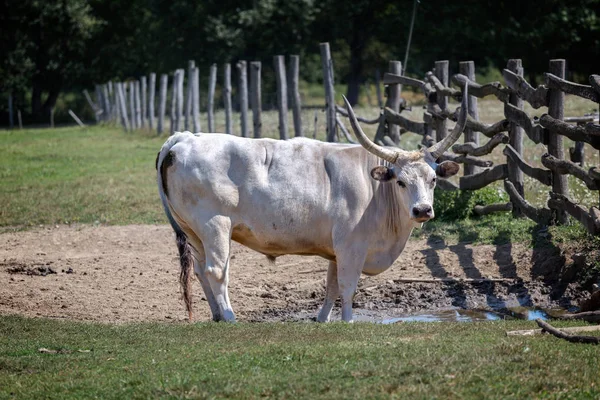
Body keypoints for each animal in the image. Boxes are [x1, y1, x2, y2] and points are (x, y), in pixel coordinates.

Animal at [156, 87, 468, 322]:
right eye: (401, 182)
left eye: (433, 179)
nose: (422, 210)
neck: (376, 190)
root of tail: (185, 137)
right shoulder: (351, 247)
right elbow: (347, 287)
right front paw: (348, 322)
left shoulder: (335, 251)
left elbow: (331, 287)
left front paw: (322, 320)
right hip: (215, 226)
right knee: (216, 271)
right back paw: (231, 318)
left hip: (194, 232)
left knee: (200, 271)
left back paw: (217, 317)